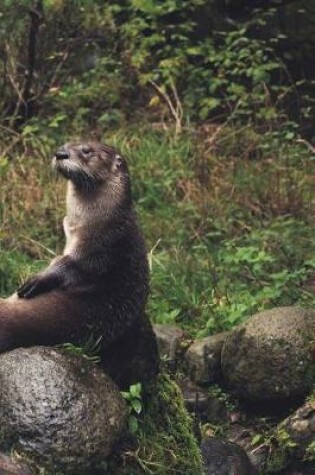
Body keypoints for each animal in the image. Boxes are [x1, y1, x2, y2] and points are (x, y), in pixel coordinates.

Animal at [0, 143, 159, 388]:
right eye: (66, 145)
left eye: (87, 150)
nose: (61, 154)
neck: (103, 221)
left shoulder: (100, 248)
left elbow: (69, 267)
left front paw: (36, 280)